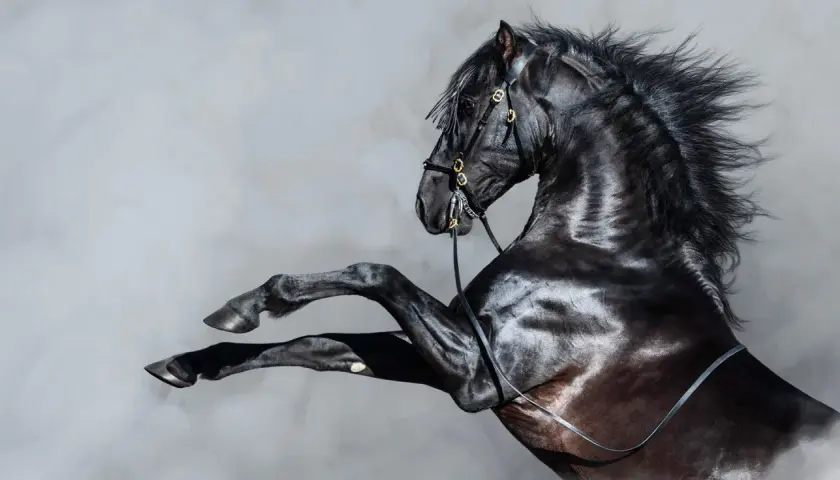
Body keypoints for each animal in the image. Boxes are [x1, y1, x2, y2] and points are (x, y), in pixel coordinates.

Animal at [144, 20, 839, 479]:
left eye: (471, 102)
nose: (428, 203)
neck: (602, 258)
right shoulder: (450, 355)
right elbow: (323, 347)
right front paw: (188, 361)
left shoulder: (479, 374)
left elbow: (374, 274)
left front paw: (251, 304)